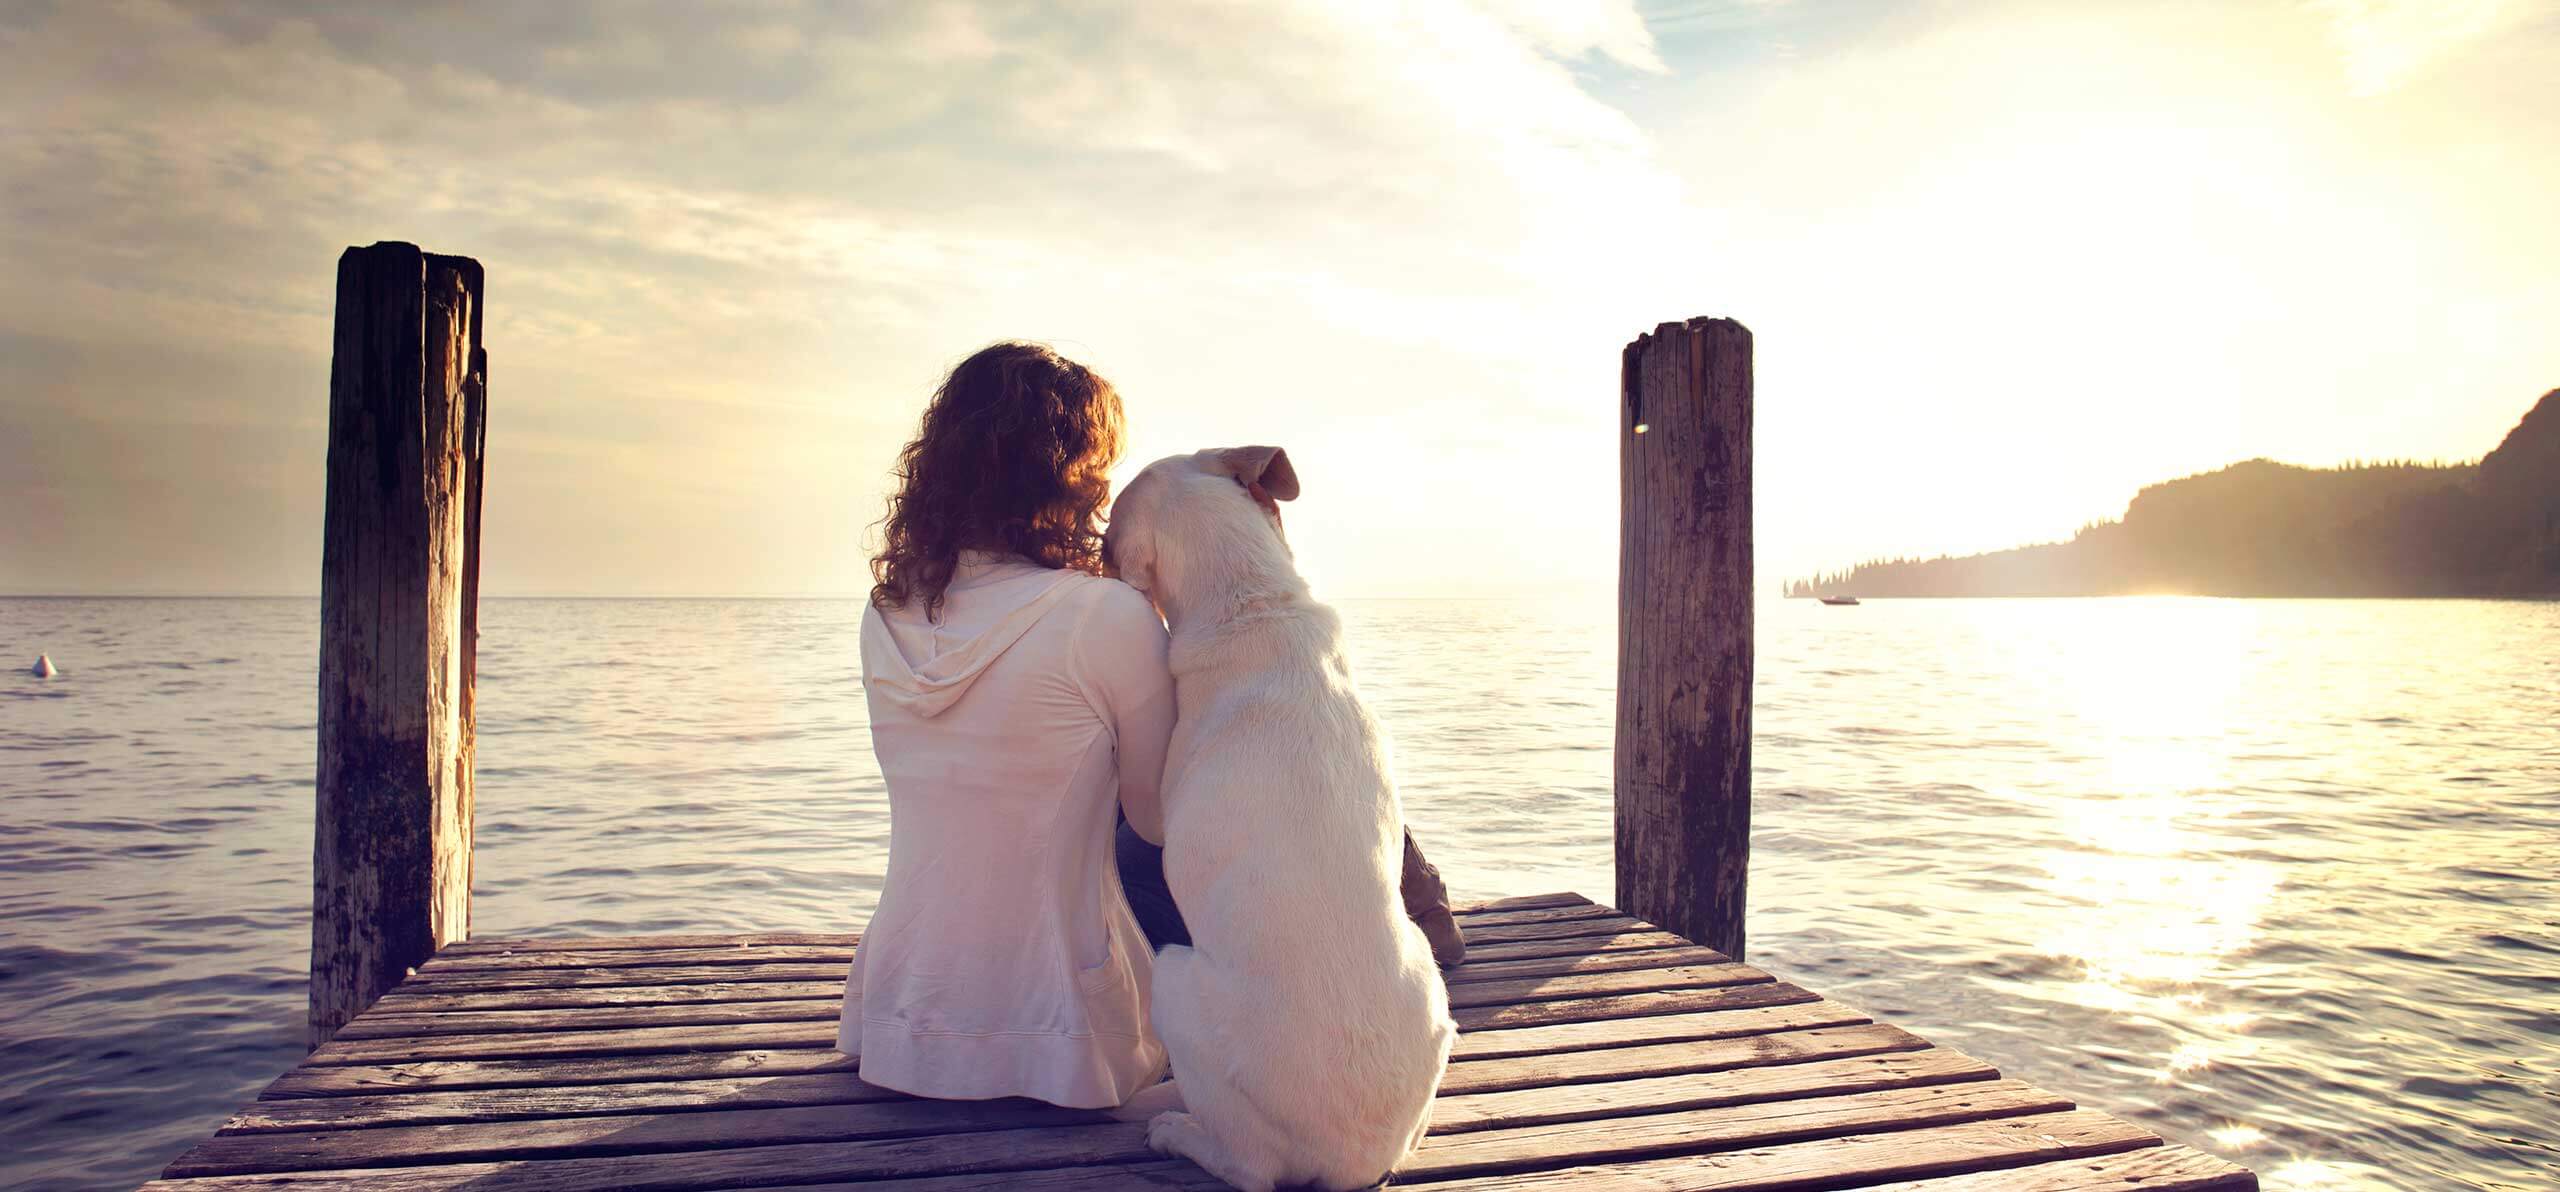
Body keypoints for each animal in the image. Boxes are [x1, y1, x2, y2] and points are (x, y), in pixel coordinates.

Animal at [1105, 445, 1464, 1192]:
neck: (1252, 606)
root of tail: (1344, 1162)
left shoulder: (1154, 812)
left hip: (1174, 976)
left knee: (1246, 1166)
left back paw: (1178, 1132)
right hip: (1431, 986)